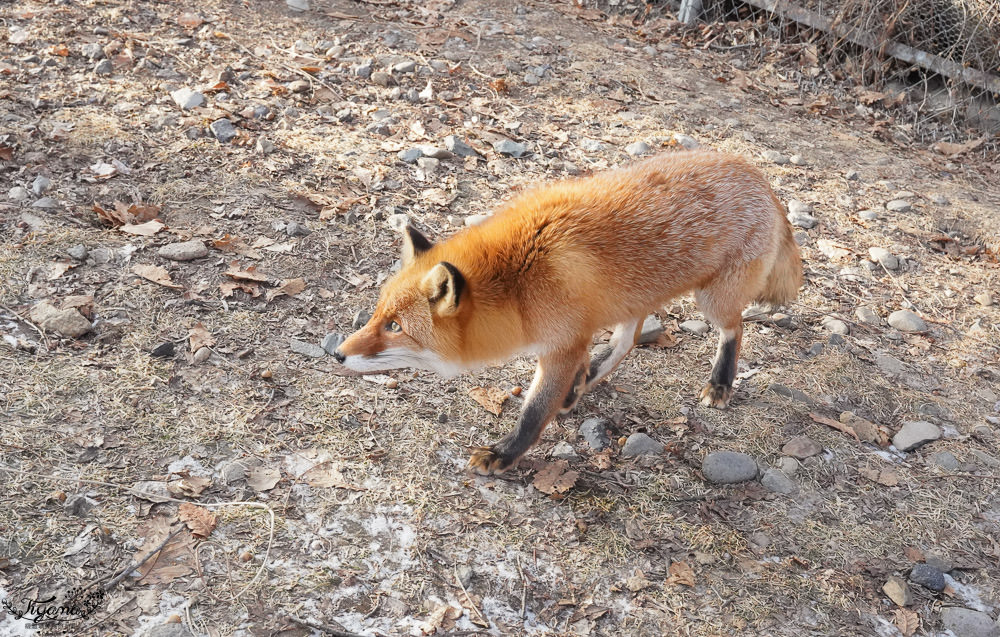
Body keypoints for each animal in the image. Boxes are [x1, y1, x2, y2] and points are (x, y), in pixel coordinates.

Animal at [336, 150, 804, 472]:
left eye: (395, 326)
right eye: (378, 315)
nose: (336, 353)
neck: (519, 283)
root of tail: (761, 177)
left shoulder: (559, 345)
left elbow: (533, 413)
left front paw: (504, 454)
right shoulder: (574, 333)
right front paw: (573, 387)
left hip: (711, 300)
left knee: (735, 328)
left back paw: (721, 382)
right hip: (632, 299)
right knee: (627, 341)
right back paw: (584, 384)